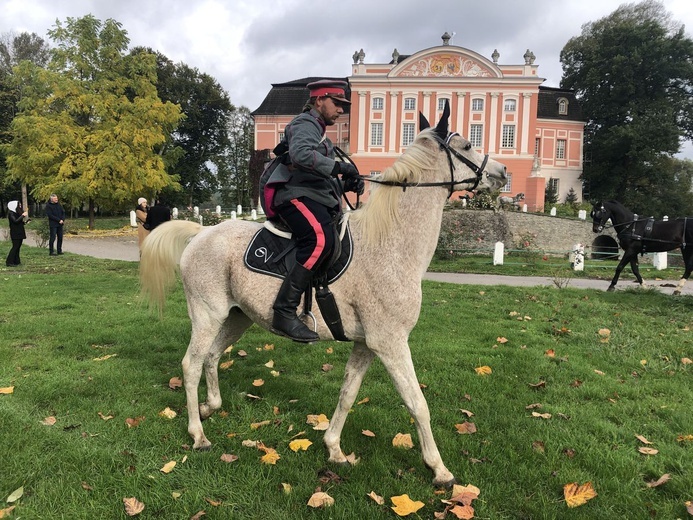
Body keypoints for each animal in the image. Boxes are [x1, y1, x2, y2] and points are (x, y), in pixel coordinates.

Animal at [139, 102, 508, 488]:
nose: (502, 173)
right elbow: (417, 403)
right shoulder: (391, 343)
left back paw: (210, 406)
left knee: (211, 357)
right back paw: (197, 434)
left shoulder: (367, 344)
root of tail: (200, 233)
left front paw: (334, 448)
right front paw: (439, 469)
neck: (389, 242)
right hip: (207, 315)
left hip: (237, 317)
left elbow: (348, 395)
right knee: (191, 364)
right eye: (467, 145)